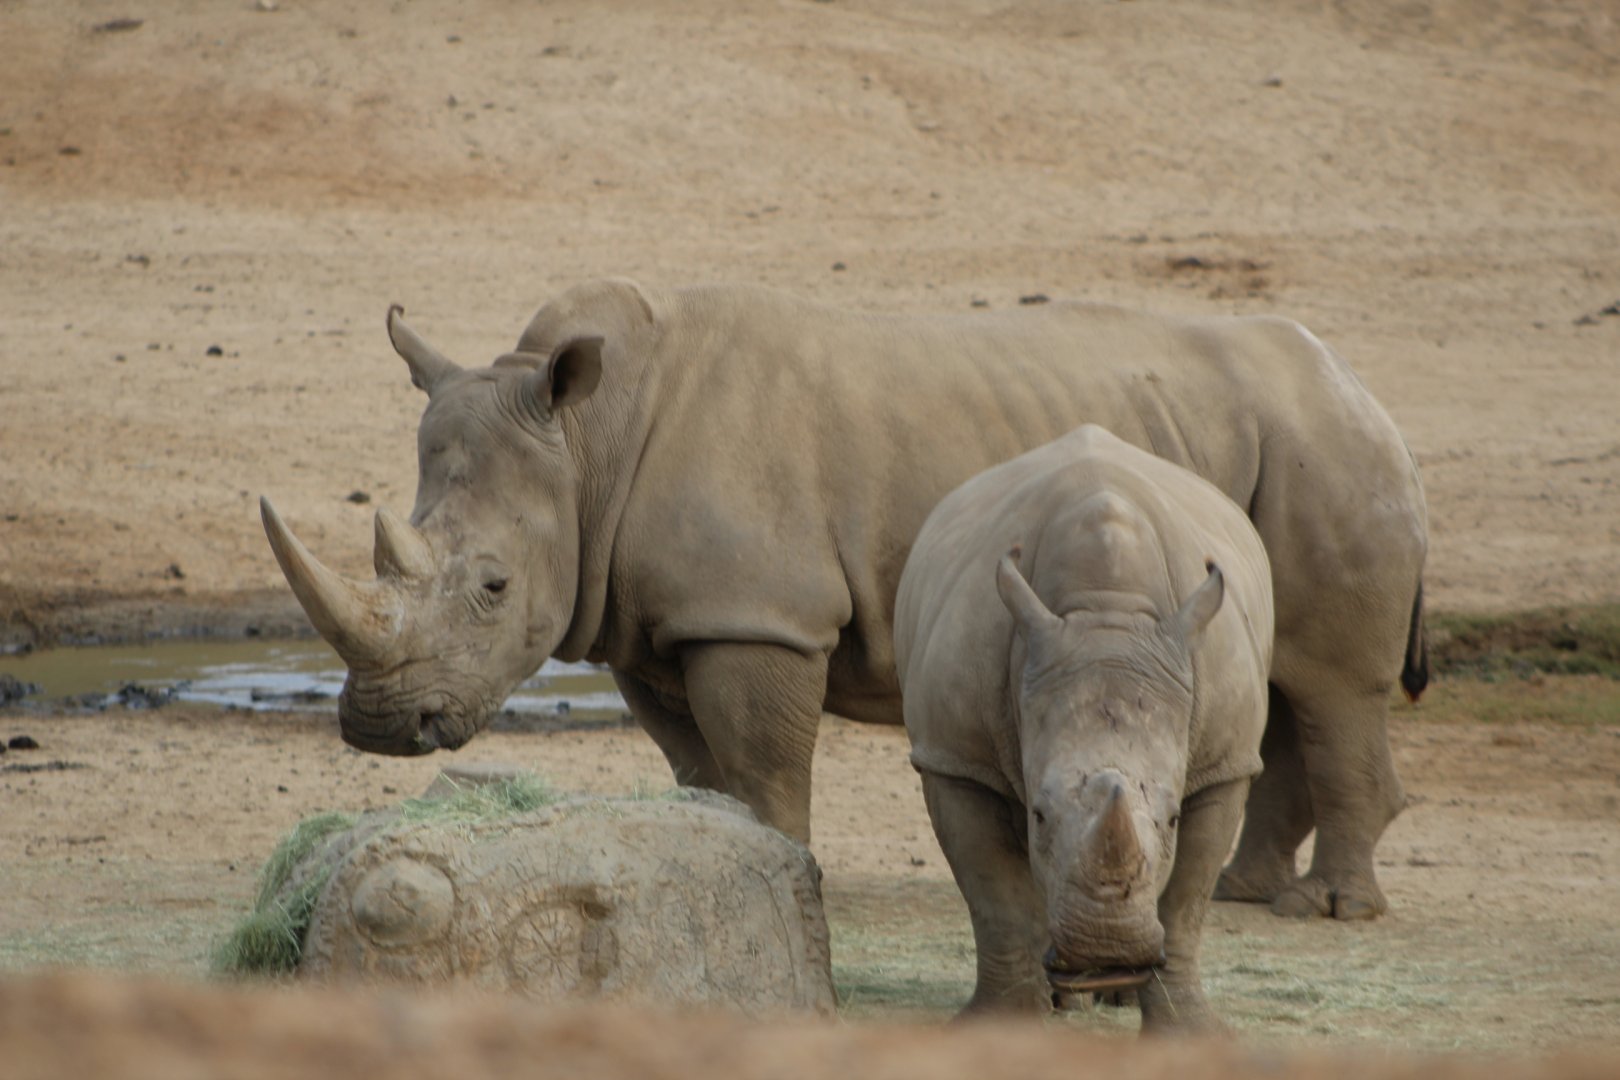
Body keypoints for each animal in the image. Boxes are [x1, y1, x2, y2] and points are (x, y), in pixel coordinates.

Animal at [260, 278, 1427, 920]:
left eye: (495, 588)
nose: (378, 726)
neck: (585, 441)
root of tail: (1366, 392)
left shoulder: (757, 616)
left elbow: (763, 761)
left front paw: (784, 868)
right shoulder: (657, 621)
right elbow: (698, 766)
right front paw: (721, 860)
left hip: (1327, 452)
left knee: (1327, 684)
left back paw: (1326, 910)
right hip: (1266, 454)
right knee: (1270, 680)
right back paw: (1247, 893)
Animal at [894, 424, 1274, 1030]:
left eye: (1172, 817)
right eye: (1039, 815)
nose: (1108, 947)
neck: (1107, 613)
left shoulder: (1226, 761)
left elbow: (1187, 901)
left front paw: (1187, 1030)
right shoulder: (956, 757)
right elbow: (994, 895)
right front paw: (1004, 1024)